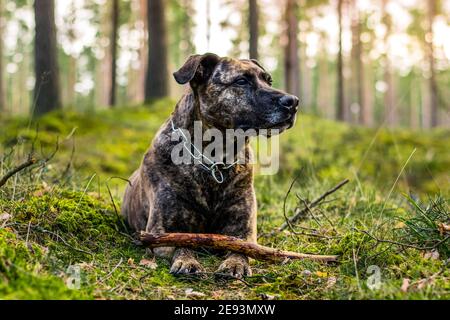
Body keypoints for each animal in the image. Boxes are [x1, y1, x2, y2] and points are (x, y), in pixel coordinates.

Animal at [122, 53, 298, 278]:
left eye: (268, 80)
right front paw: (187, 261)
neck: (214, 159)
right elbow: (182, 243)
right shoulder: (160, 232)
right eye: (241, 81)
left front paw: (235, 263)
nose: (293, 102)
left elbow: (240, 248)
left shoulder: (244, 230)